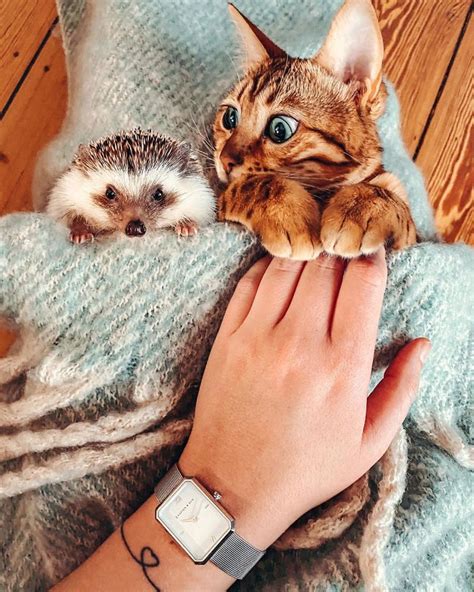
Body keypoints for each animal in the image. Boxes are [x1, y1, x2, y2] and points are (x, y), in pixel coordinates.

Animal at [213, 0, 416, 260]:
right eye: (230, 118)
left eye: (280, 129)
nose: (224, 159)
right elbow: (252, 184)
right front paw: (290, 215)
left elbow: (388, 198)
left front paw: (359, 208)